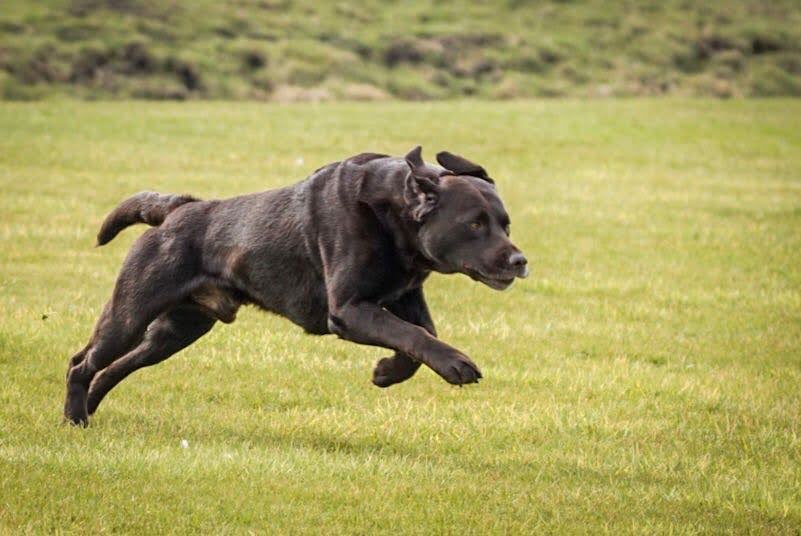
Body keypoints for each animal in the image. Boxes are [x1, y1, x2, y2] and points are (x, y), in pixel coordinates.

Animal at [62, 148, 524, 428]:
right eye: (474, 225)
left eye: (505, 224)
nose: (519, 260)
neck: (394, 218)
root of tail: (179, 208)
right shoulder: (350, 309)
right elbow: (412, 335)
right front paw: (455, 364)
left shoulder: (402, 295)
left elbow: (420, 336)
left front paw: (387, 372)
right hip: (131, 312)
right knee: (81, 363)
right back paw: (73, 418)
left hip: (176, 330)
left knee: (113, 368)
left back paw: (89, 410)